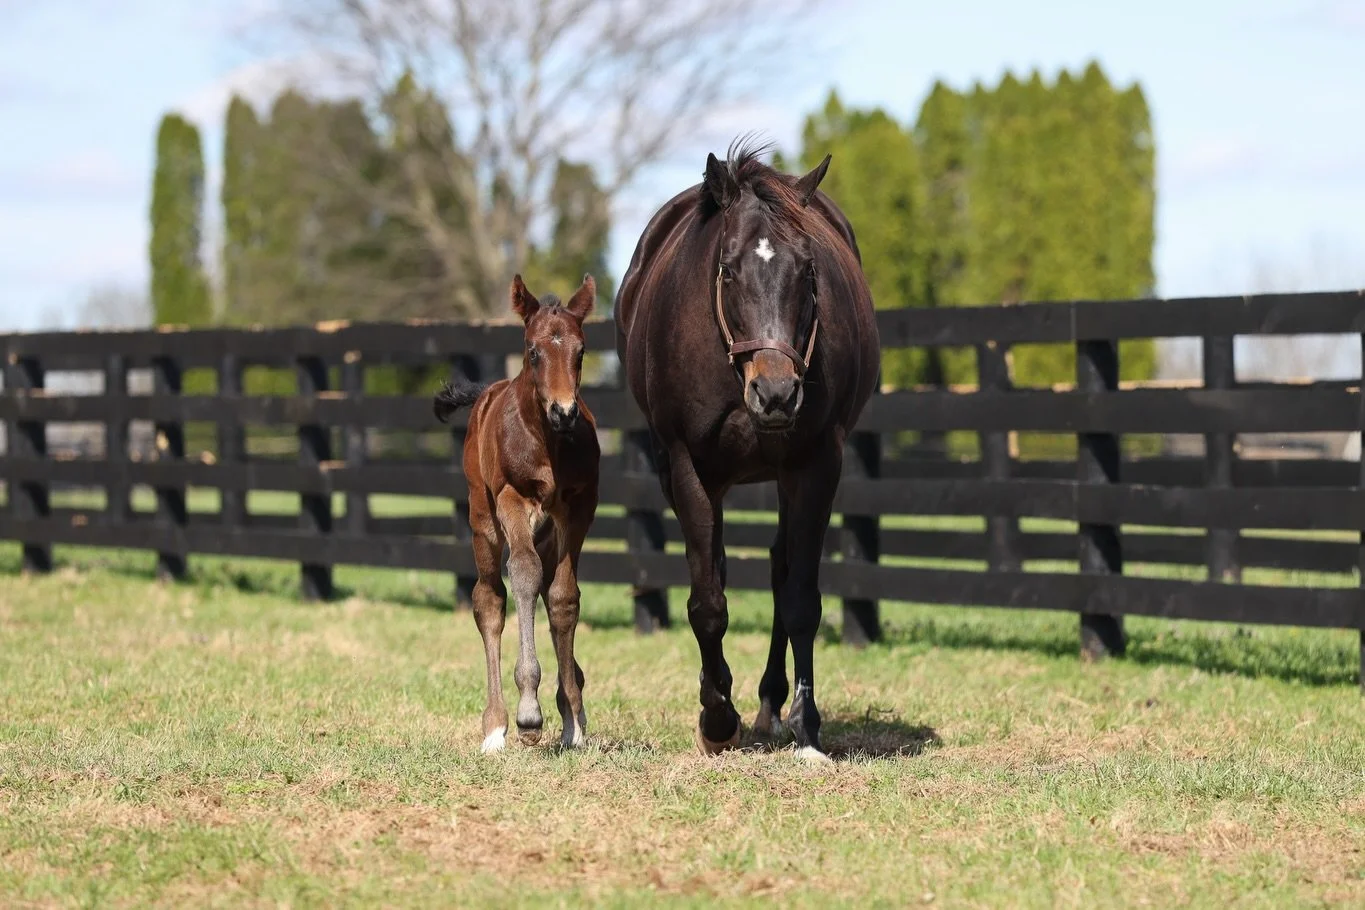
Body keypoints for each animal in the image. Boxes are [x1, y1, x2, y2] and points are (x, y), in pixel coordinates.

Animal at [435, 274, 601, 753]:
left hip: (546, 530)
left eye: (581, 351)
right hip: (482, 517)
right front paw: (530, 712)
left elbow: (563, 596)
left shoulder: (579, 507)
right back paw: (495, 726)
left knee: (544, 588)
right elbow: (523, 573)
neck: (548, 443)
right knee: (489, 598)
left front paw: (573, 717)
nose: (564, 411)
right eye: (533, 351)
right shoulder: (513, 497)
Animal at [614, 139, 879, 761]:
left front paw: (806, 725)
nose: (776, 392)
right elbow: (707, 601)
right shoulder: (686, 465)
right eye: (728, 269)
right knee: (716, 569)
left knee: (781, 568)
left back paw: (768, 704)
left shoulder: (816, 464)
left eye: (808, 269)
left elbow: (801, 596)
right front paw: (716, 719)